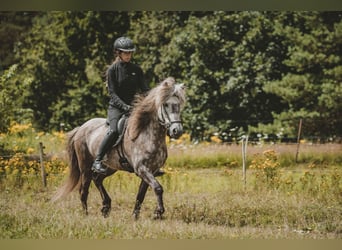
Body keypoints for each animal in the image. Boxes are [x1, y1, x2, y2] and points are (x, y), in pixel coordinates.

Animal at [52, 77, 186, 219]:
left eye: (179, 105)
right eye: (165, 104)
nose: (177, 131)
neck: (147, 135)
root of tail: (80, 128)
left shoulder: (151, 171)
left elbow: (141, 195)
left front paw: (135, 216)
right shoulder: (142, 169)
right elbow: (158, 188)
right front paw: (158, 212)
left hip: (110, 167)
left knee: (97, 179)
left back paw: (106, 206)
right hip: (85, 167)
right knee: (84, 190)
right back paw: (86, 215)